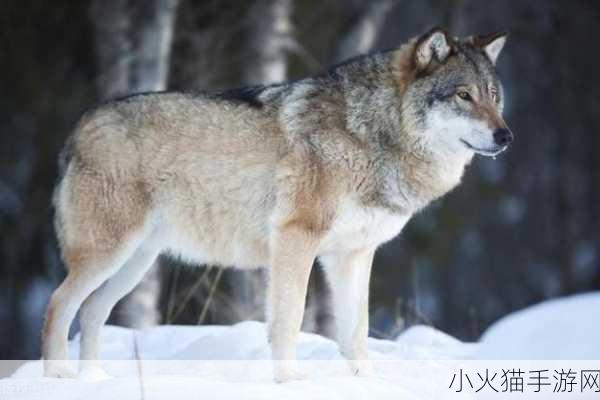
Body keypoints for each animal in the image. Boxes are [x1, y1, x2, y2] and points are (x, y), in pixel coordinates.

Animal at [42, 27, 510, 382]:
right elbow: (289, 319)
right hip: (108, 255)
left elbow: (356, 331)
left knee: (91, 310)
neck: (371, 134)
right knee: (57, 305)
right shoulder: (295, 239)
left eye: (493, 95)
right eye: (463, 96)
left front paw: (366, 382)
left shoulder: (353, 255)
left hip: (135, 263)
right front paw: (289, 381)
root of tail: (78, 128)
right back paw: (60, 379)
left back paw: (94, 381)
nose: (505, 136)